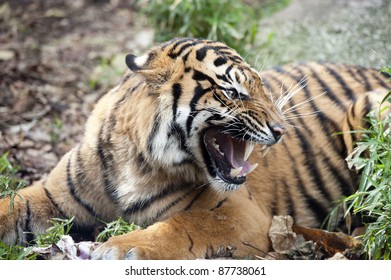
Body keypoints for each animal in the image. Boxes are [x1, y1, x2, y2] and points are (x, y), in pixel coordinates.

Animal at [0, 37, 390, 260]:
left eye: (262, 88)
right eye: (233, 92)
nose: (282, 130)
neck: (134, 160)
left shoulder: (241, 212)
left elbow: (186, 224)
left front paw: (122, 249)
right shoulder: (51, 195)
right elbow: (10, 204)